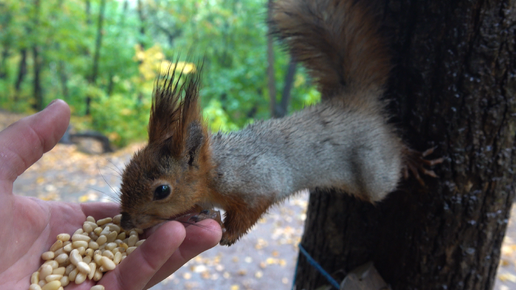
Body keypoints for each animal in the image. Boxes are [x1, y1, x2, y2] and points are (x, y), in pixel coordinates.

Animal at [119, 0, 442, 245]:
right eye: (125, 171)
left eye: (162, 191)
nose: (125, 223)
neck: (215, 171)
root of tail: (354, 103)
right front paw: (204, 213)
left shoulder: (257, 185)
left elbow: (248, 214)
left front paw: (226, 233)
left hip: (375, 170)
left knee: (393, 157)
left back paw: (414, 160)